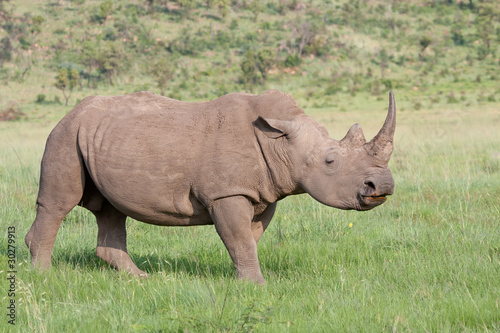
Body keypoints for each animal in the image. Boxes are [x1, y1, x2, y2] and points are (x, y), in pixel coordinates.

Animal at [25, 89, 396, 282]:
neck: (281, 144)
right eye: (330, 161)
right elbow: (239, 238)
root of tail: (72, 111)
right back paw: (43, 277)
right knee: (59, 203)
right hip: (65, 133)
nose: (384, 185)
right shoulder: (227, 192)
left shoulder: (264, 193)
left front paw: (243, 280)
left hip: (98, 136)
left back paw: (140, 279)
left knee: (111, 209)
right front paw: (258, 285)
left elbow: (247, 239)